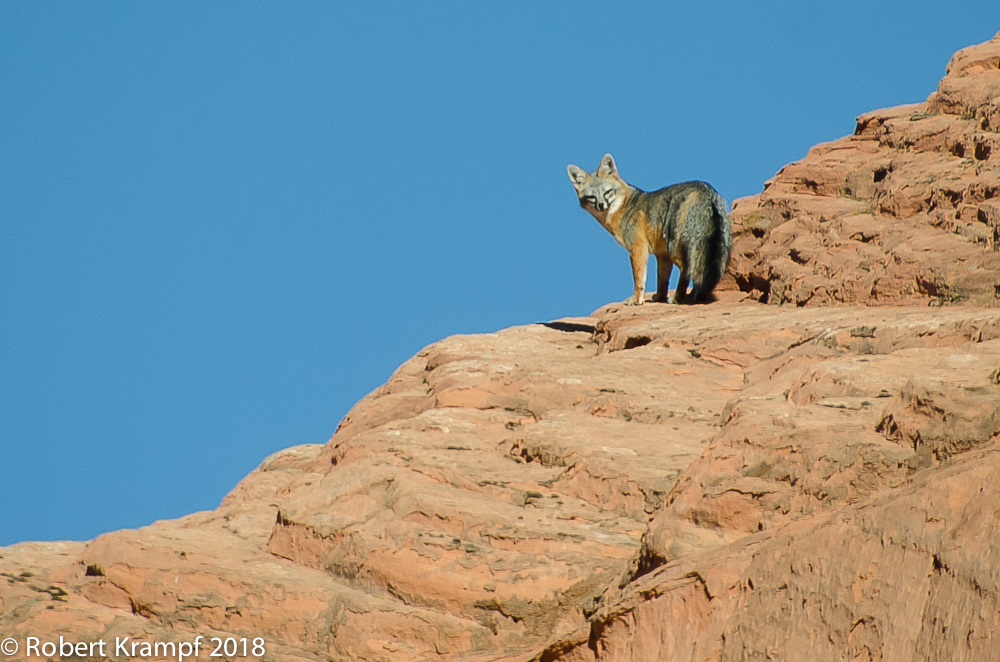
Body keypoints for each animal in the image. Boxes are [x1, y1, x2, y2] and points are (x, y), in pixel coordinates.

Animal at [567, 153, 733, 305]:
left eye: (607, 192)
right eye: (592, 197)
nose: (601, 205)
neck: (624, 206)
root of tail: (706, 189)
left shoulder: (638, 248)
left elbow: (639, 278)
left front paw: (636, 300)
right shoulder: (662, 254)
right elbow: (662, 280)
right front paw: (659, 297)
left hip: (676, 248)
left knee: (686, 270)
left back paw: (678, 298)